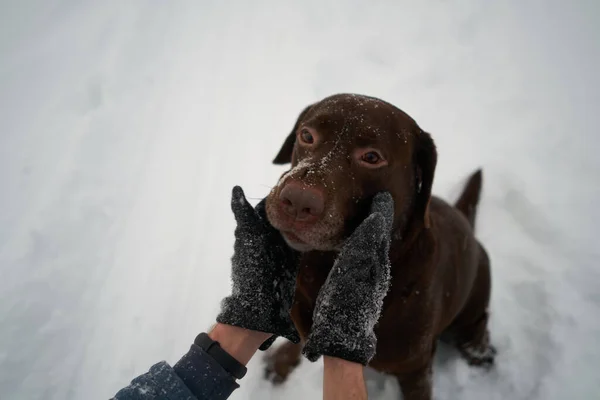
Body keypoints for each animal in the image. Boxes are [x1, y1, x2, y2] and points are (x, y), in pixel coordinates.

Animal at [262, 94, 492, 400]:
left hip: (471, 311)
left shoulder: (415, 369)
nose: (297, 202)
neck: (324, 266)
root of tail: (464, 216)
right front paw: (281, 361)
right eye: (307, 135)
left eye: (372, 157)